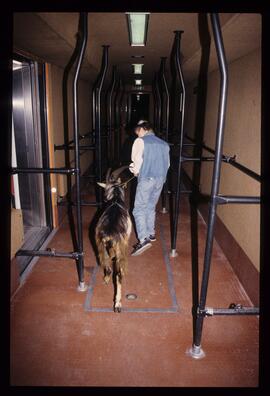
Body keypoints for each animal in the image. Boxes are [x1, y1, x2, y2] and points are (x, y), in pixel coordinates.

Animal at [95, 166, 132, 310]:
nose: (105, 199)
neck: (116, 199)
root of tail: (109, 236)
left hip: (100, 246)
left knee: (108, 266)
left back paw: (105, 280)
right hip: (119, 250)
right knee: (118, 274)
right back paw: (117, 304)